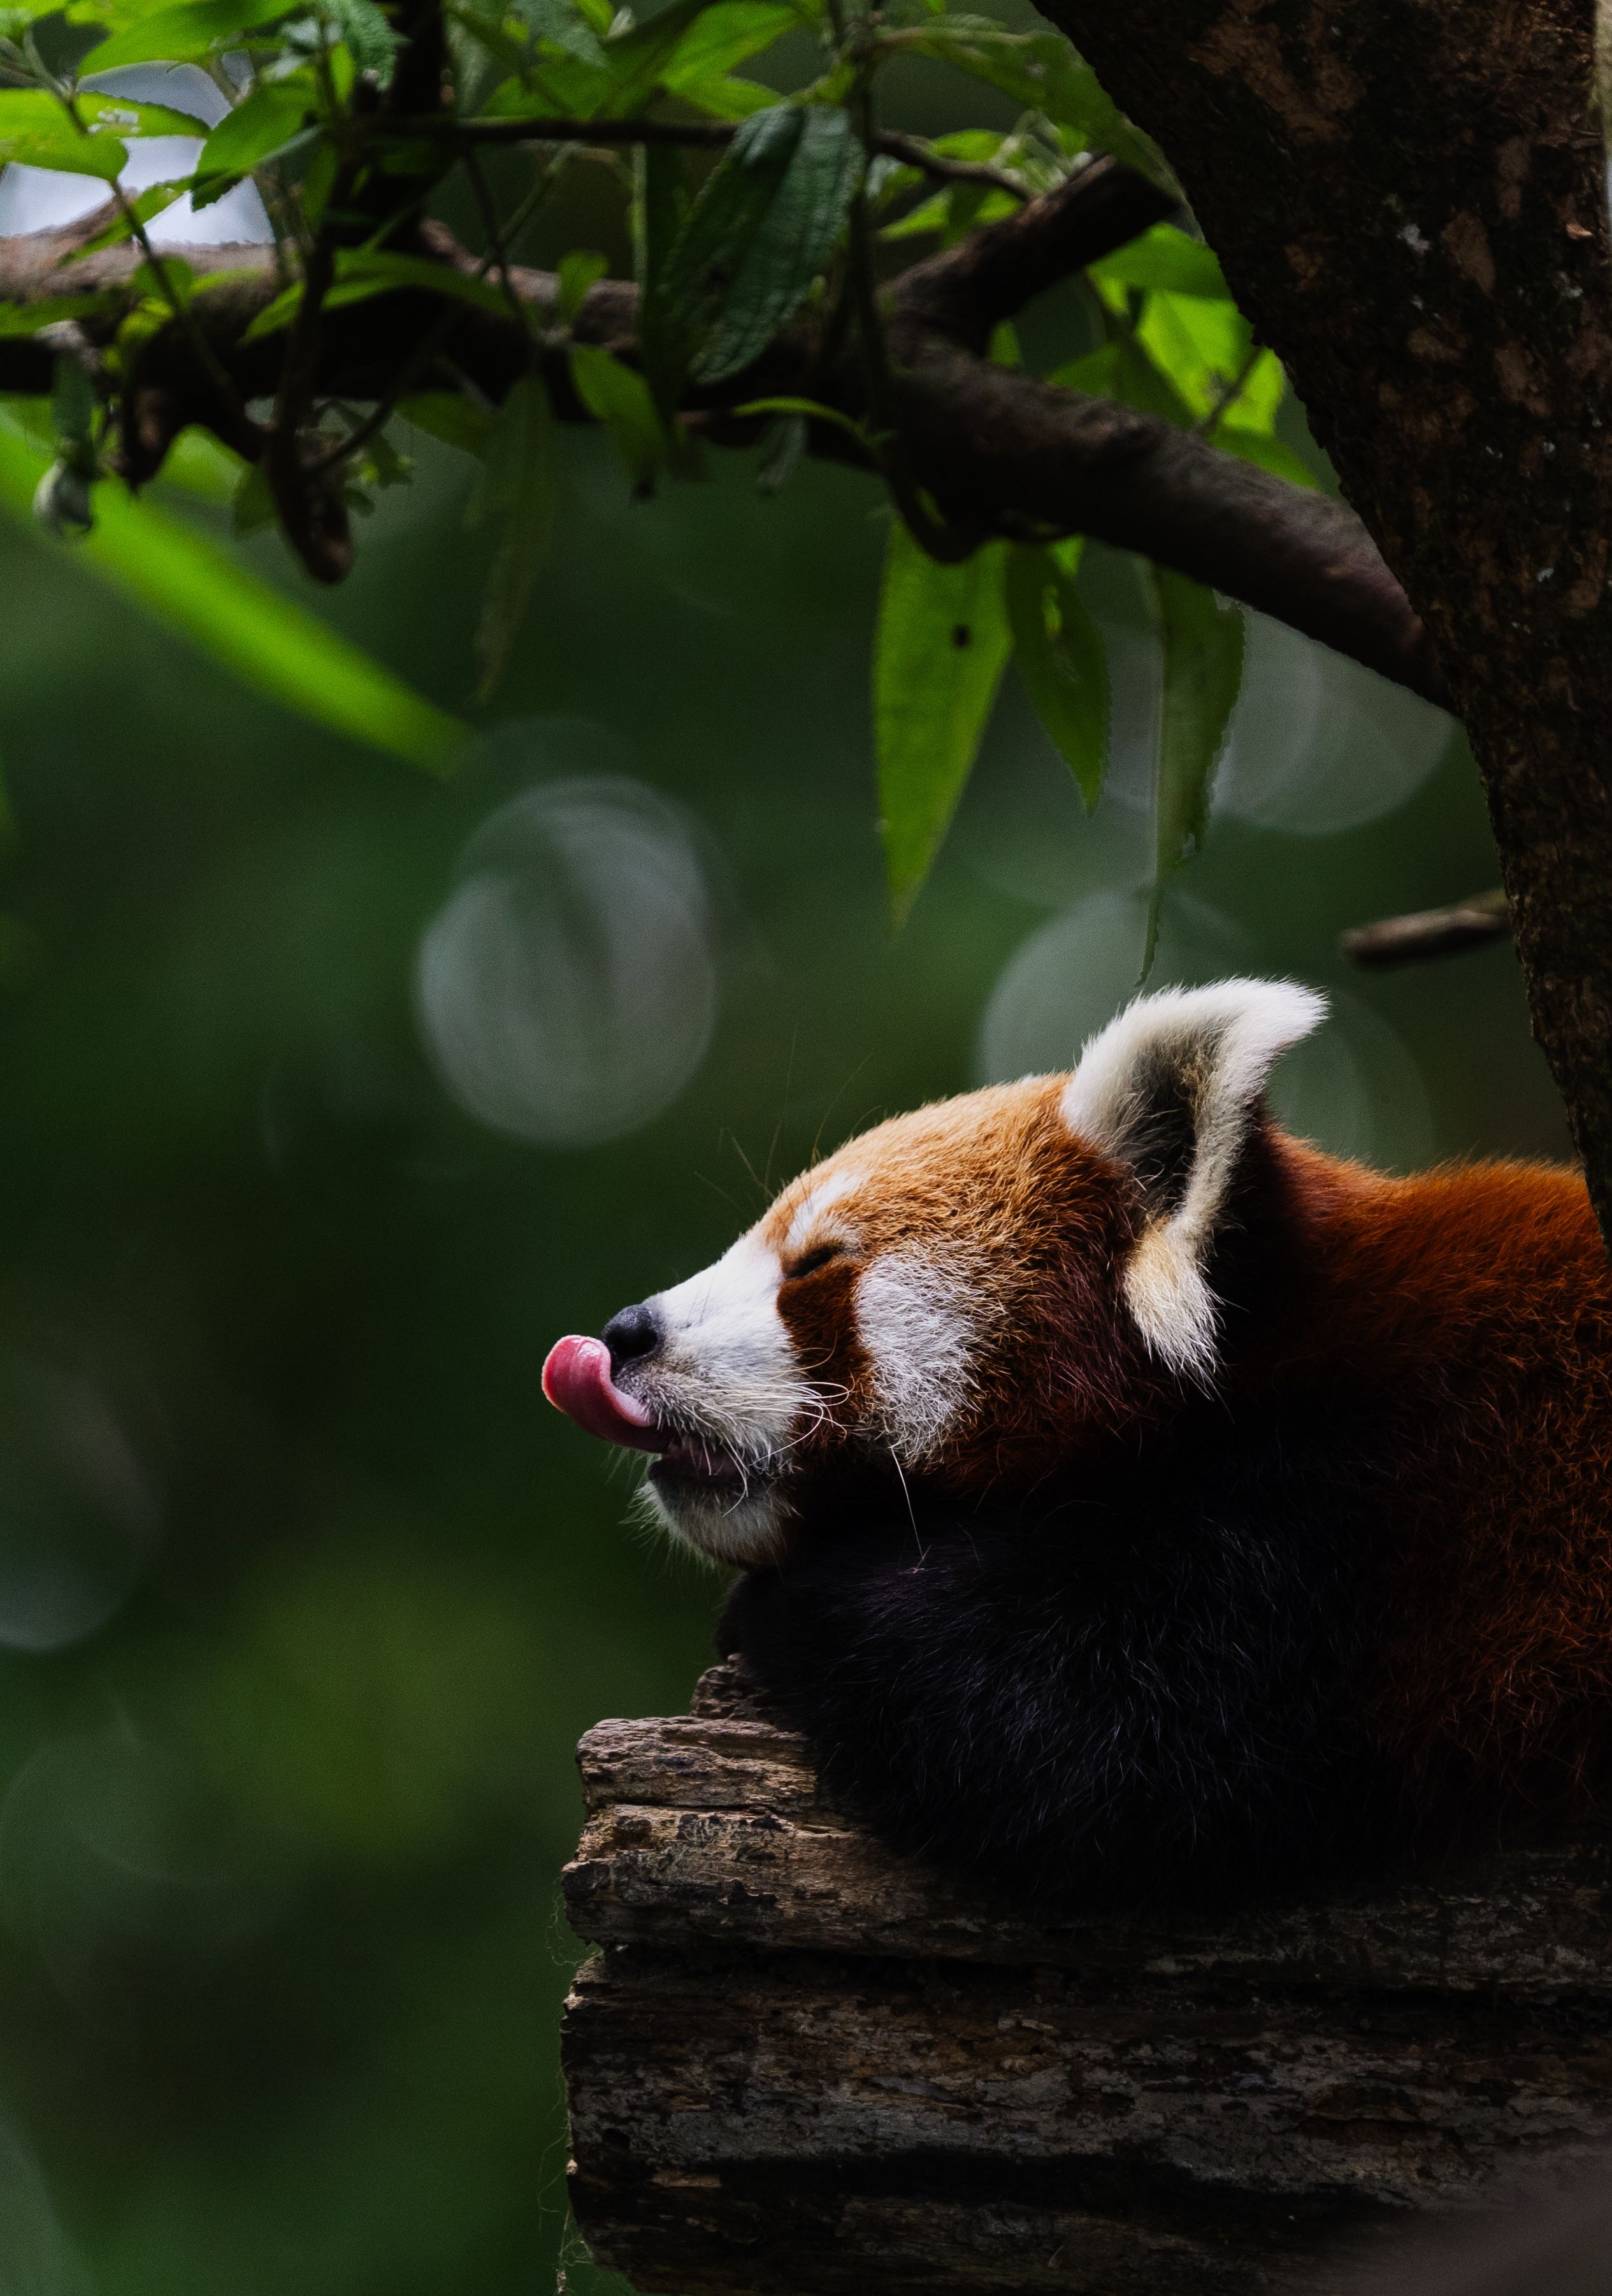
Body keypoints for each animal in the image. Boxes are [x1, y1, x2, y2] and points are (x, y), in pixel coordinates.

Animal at [544, 980, 1612, 1906]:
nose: (626, 1333)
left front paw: (784, 1604)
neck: (1273, 1349)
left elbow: (1097, 1748)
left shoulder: (1363, 1507)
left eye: (814, 1265)